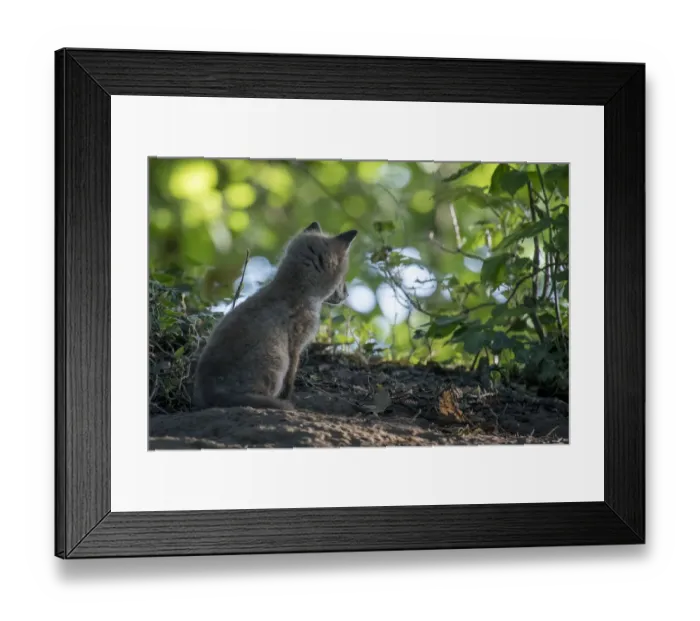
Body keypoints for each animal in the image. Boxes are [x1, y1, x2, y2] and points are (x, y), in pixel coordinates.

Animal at [192, 222, 358, 411]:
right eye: (343, 277)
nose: (347, 294)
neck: (296, 291)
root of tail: (213, 392)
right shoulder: (296, 345)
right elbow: (290, 379)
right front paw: (288, 398)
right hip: (277, 362)